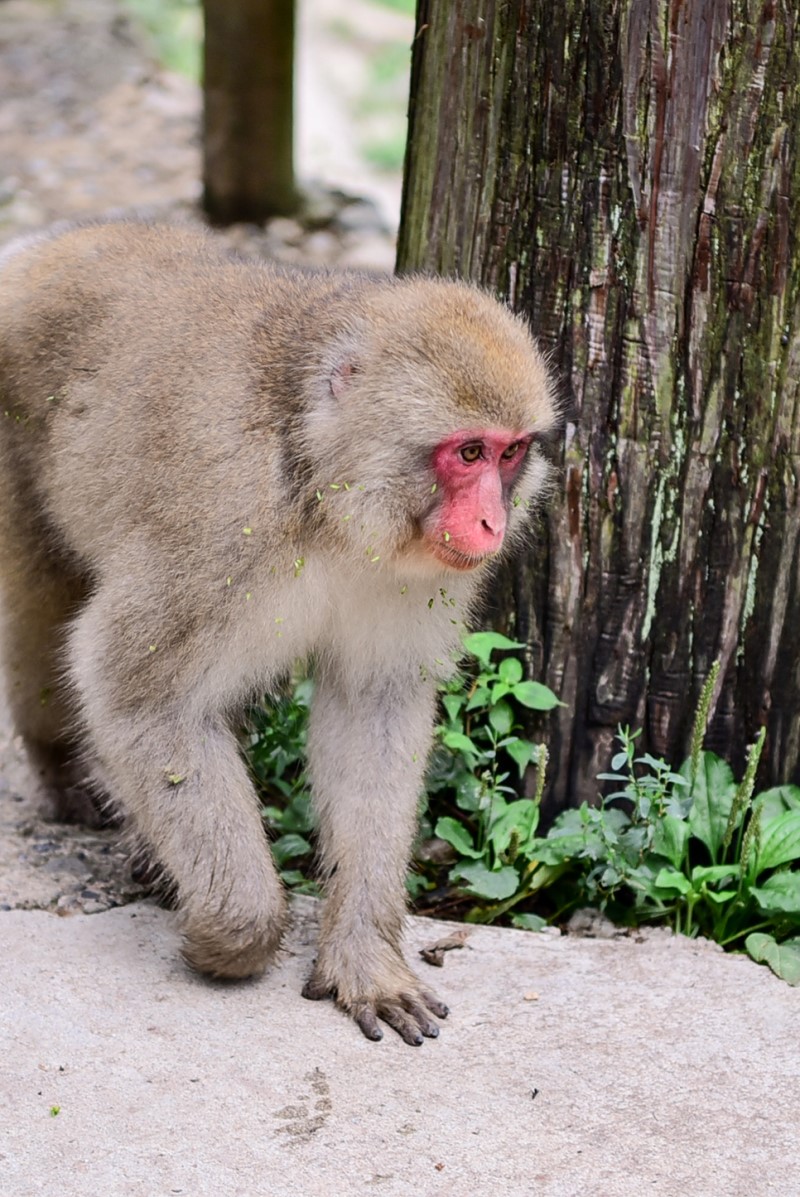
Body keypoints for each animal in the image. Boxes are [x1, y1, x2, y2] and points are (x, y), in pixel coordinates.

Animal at [0, 220, 555, 1043]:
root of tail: (45, 248)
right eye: (467, 452)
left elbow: (372, 709)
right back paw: (65, 771)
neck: (325, 489)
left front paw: (363, 956)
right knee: (41, 608)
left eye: (511, 452)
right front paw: (231, 928)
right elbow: (132, 689)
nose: (491, 523)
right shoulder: (225, 526)